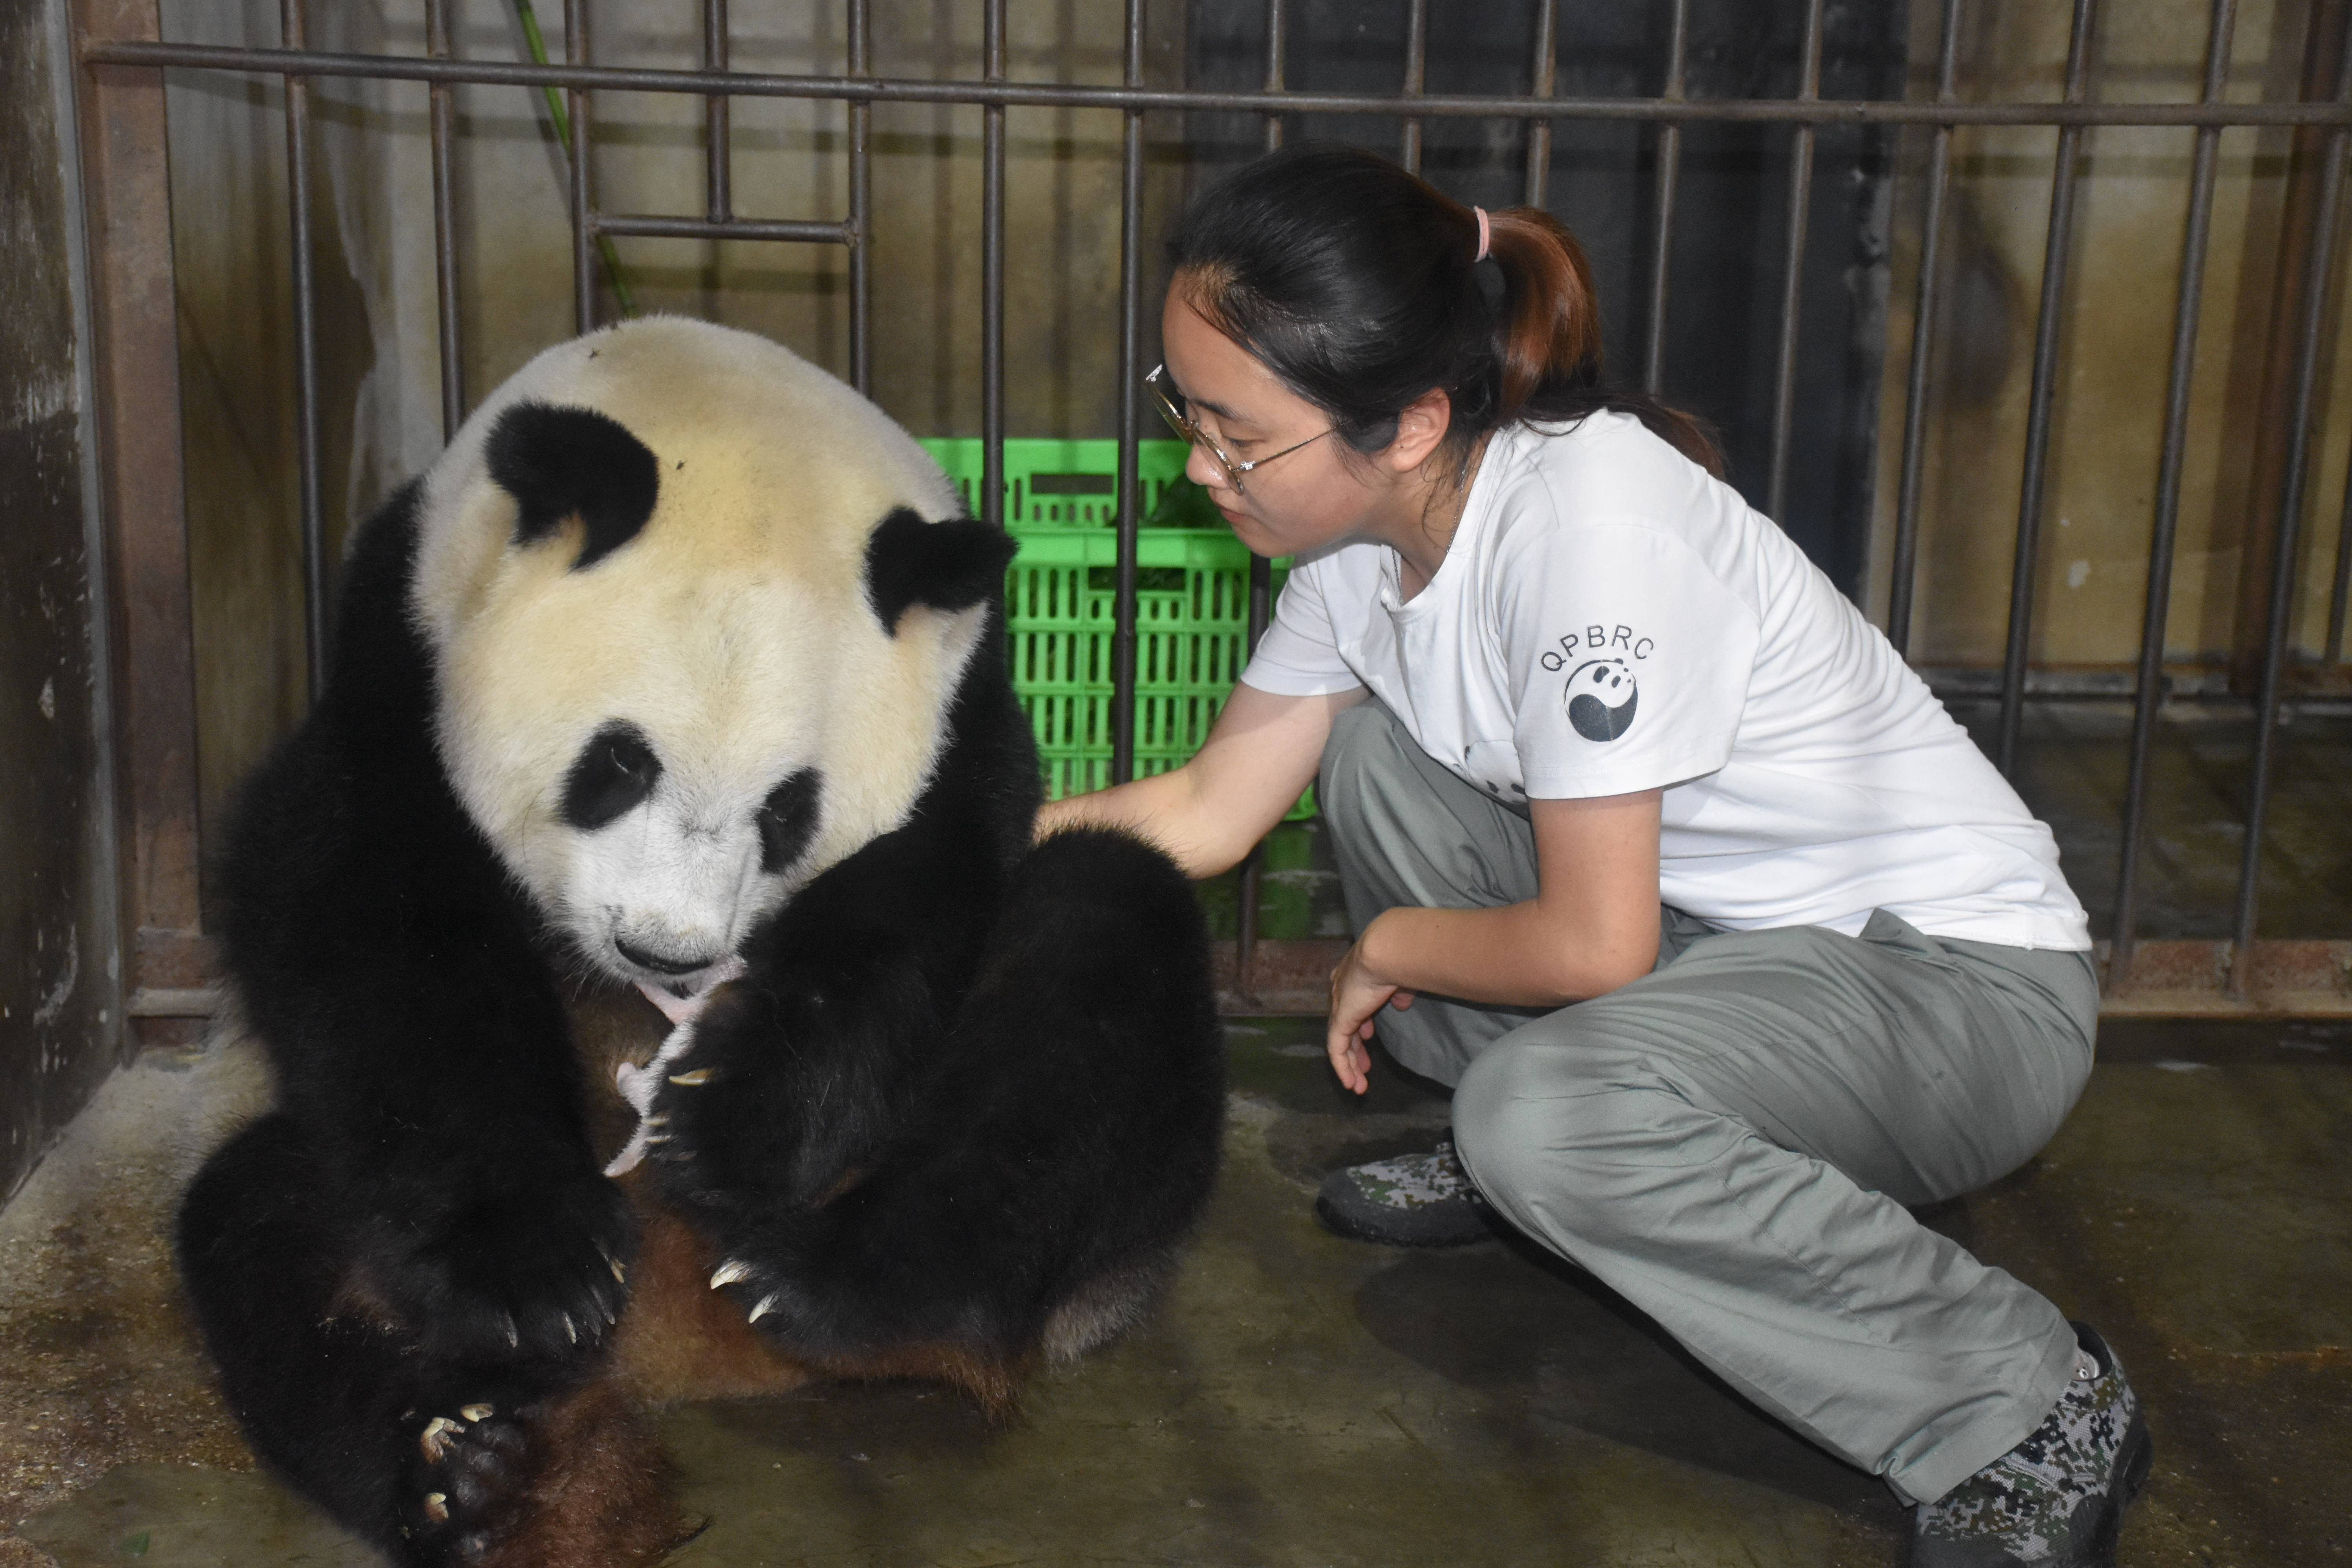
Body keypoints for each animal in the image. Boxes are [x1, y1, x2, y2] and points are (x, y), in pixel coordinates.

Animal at [174, 319, 1223, 1568]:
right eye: (620, 762)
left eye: (789, 809)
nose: (666, 955)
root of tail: (685, 1345)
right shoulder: (402, 648)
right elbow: (369, 912)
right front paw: (535, 1273)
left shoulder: (961, 715)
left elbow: (911, 909)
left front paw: (722, 1112)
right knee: (265, 1229)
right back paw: (464, 1470)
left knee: (1099, 942)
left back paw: (839, 1285)